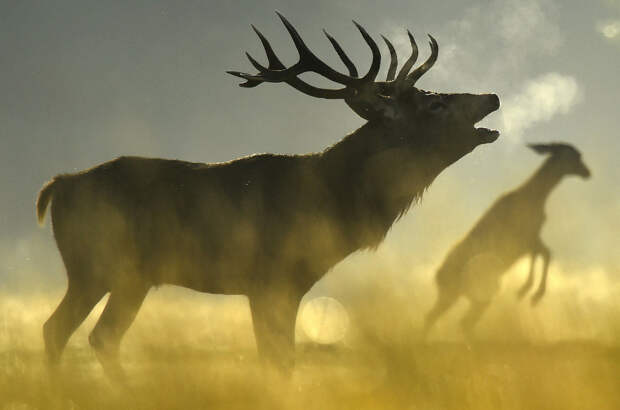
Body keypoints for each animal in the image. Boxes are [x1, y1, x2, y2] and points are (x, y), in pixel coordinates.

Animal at [37, 12, 498, 378]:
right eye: (435, 105)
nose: (492, 96)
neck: (331, 202)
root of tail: (58, 186)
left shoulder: (281, 286)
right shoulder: (270, 280)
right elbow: (277, 361)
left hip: (132, 276)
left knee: (97, 336)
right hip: (93, 265)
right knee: (61, 330)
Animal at [424, 143, 588, 338]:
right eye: (576, 156)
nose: (587, 172)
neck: (536, 197)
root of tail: (438, 276)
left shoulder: (532, 239)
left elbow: (543, 253)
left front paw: (527, 291)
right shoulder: (526, 239)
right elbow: (545, 253)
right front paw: (530, 293)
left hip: (462, 296)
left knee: (447, 319)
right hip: (470, 293)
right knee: (457, 321)